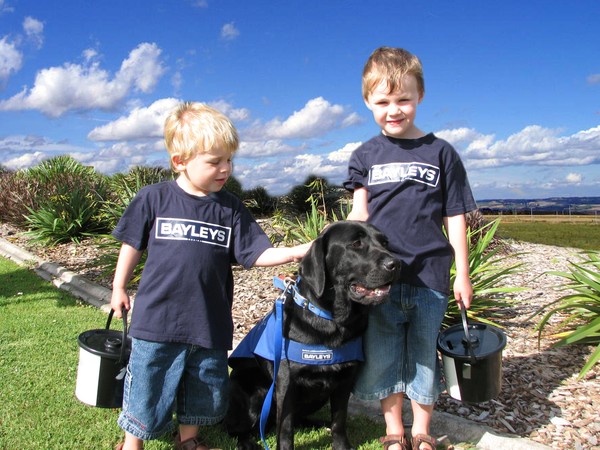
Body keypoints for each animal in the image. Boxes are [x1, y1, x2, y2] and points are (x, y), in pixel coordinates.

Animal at [223, 221, 400, 450]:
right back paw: (248, 442)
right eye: (356, 243)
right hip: (254, 389)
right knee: (236, 429)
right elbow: (286, 428)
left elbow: (339, 421)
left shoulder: (346, 379)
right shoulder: (286, 382)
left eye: (385, 242)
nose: (396, 263)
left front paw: (341, 445)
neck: (333, 321)